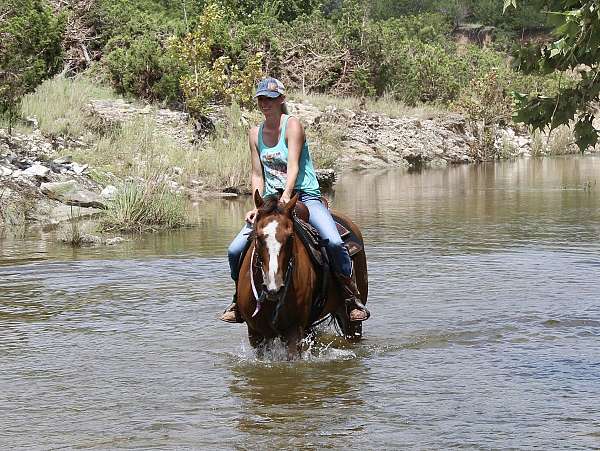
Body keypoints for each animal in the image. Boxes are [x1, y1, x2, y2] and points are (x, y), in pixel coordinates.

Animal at [236, 189, 368, 358]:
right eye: (257, 237)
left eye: (290, 236)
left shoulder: (294, 330)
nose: (274, 288)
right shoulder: (255, 333)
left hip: (351, 319)